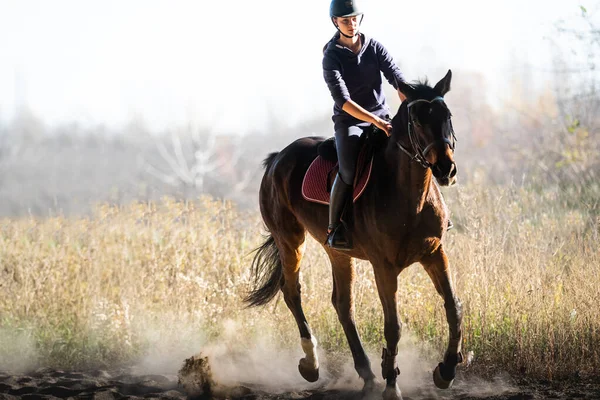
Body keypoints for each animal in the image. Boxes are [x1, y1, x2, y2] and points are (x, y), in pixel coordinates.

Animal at [244, 70, 464, 398]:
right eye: (417, 121)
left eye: (447, 115)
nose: (445, 169)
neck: (410, 195)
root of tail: (277, 158)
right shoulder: (384, 266)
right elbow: (393, 325)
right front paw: (392, 385)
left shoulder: (435, 253)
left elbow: (453, 308)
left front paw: (446, 371)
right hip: (290, 240)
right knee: (292, 292)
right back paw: (312, 364)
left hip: (336, 251)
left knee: (342, 304)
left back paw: (367, 374)